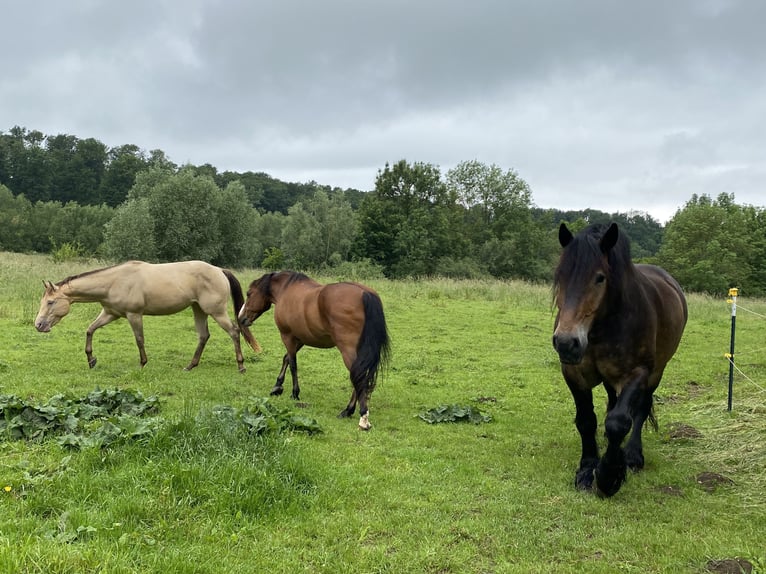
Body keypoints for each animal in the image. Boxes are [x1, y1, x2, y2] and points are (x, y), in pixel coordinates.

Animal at [33, 262, 260, 374]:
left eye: (50, 302)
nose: (39, 325)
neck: (114, 281)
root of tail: (219, 270)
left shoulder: (134, 315)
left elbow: (139, 340)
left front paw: (142, 364)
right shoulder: (110, 313)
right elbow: (90, 330)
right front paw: (91, 359)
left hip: (216, 311)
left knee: (234, 331)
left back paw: (241, 366)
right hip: (199, 310)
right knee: (203, 336)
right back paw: (190, 366)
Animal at [238, 274, 392, 432]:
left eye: (249, 294)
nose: (241, 318)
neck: (285, 290)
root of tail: (365, 293)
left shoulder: (287, 336)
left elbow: (293, 364)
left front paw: (294, 393)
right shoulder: (300, 338)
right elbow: (286, 358)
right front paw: (277, 386)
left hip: (348, 350)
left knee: (358, 376)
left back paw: (361, 416)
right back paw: (349, 411)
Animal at [552, 223, 688, 498]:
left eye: (600, 278)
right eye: (560, 276)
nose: (566, 342)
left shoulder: (637, 373)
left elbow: (619, 422)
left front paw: (609, 476)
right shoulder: (574, 374)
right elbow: (586, 420)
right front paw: (587, 469)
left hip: (656, 372)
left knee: (640, 409)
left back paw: (634, 455)